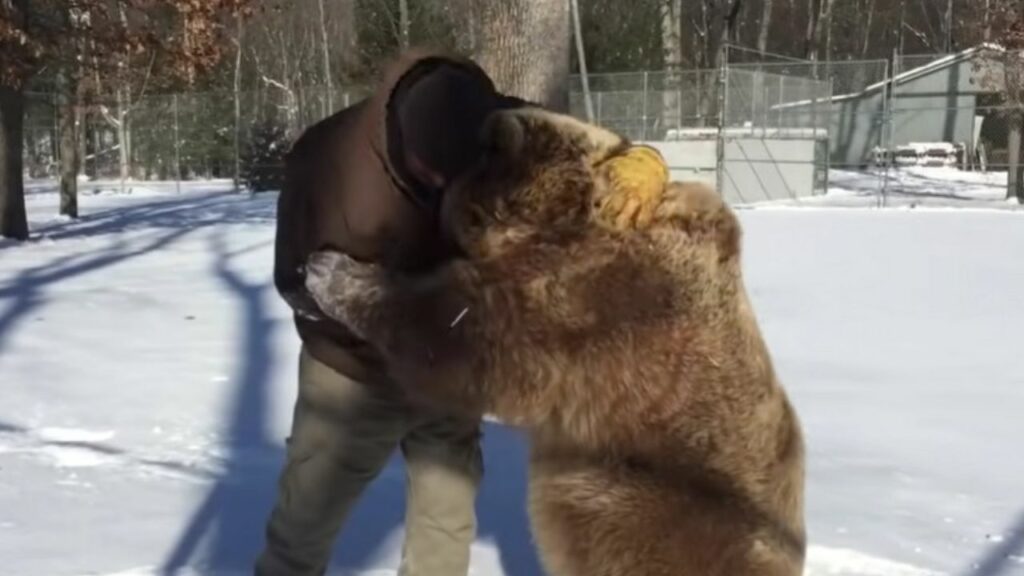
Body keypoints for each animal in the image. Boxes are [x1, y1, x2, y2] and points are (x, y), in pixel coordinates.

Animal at [299, 105, 802, 569]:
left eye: (463, 201)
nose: (440, 212)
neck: (573, 217)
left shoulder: (601, 300)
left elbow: (475, 330)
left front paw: (336, 271)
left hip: (649, 500)